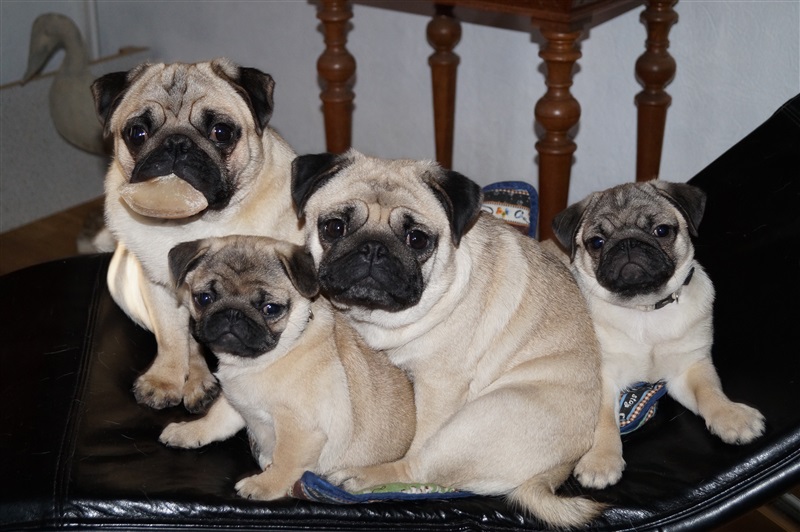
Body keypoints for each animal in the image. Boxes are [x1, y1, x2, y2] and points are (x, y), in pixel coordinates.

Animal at [91, 58, 302, 413]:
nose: (177, 143)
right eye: (137, 133)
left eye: (221, 132)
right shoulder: (159, 291)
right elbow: (172, 340)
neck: (193, 222)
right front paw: (165, 380)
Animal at [159, 235, 415, 500]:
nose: (232, 314)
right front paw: (189, 432)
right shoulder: (236, 401)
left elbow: (286, 460)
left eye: (270, 309)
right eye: (204, 298)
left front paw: (264, 485)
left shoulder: (300, 429)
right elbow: (215, 420)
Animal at [289, 149, 605, 528]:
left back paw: (364, 476)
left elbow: (419, 438)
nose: (373, 249)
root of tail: (559, 468)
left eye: (417, 239)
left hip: (480, 419)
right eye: (334, 227)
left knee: (418, 464)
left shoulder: (438, 385)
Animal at [552, 180, 766, 490]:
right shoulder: (604, 377)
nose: (627, 244)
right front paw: (601, 460)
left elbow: (709, 392)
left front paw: (731, 417)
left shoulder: (687, 368)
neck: (645, 308)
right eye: (597, 243)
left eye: (662, 231)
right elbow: (604, 421)